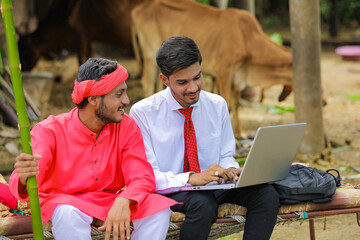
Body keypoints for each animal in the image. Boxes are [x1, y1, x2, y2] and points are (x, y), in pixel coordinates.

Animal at [131, 0, 294, 137]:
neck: (246, 37)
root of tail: (138, 9)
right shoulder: (224, 71)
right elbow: (229, 105)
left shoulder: (237, 77)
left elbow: (236, 104)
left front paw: (240, 133)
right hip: (150, 54)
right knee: (146, 82)